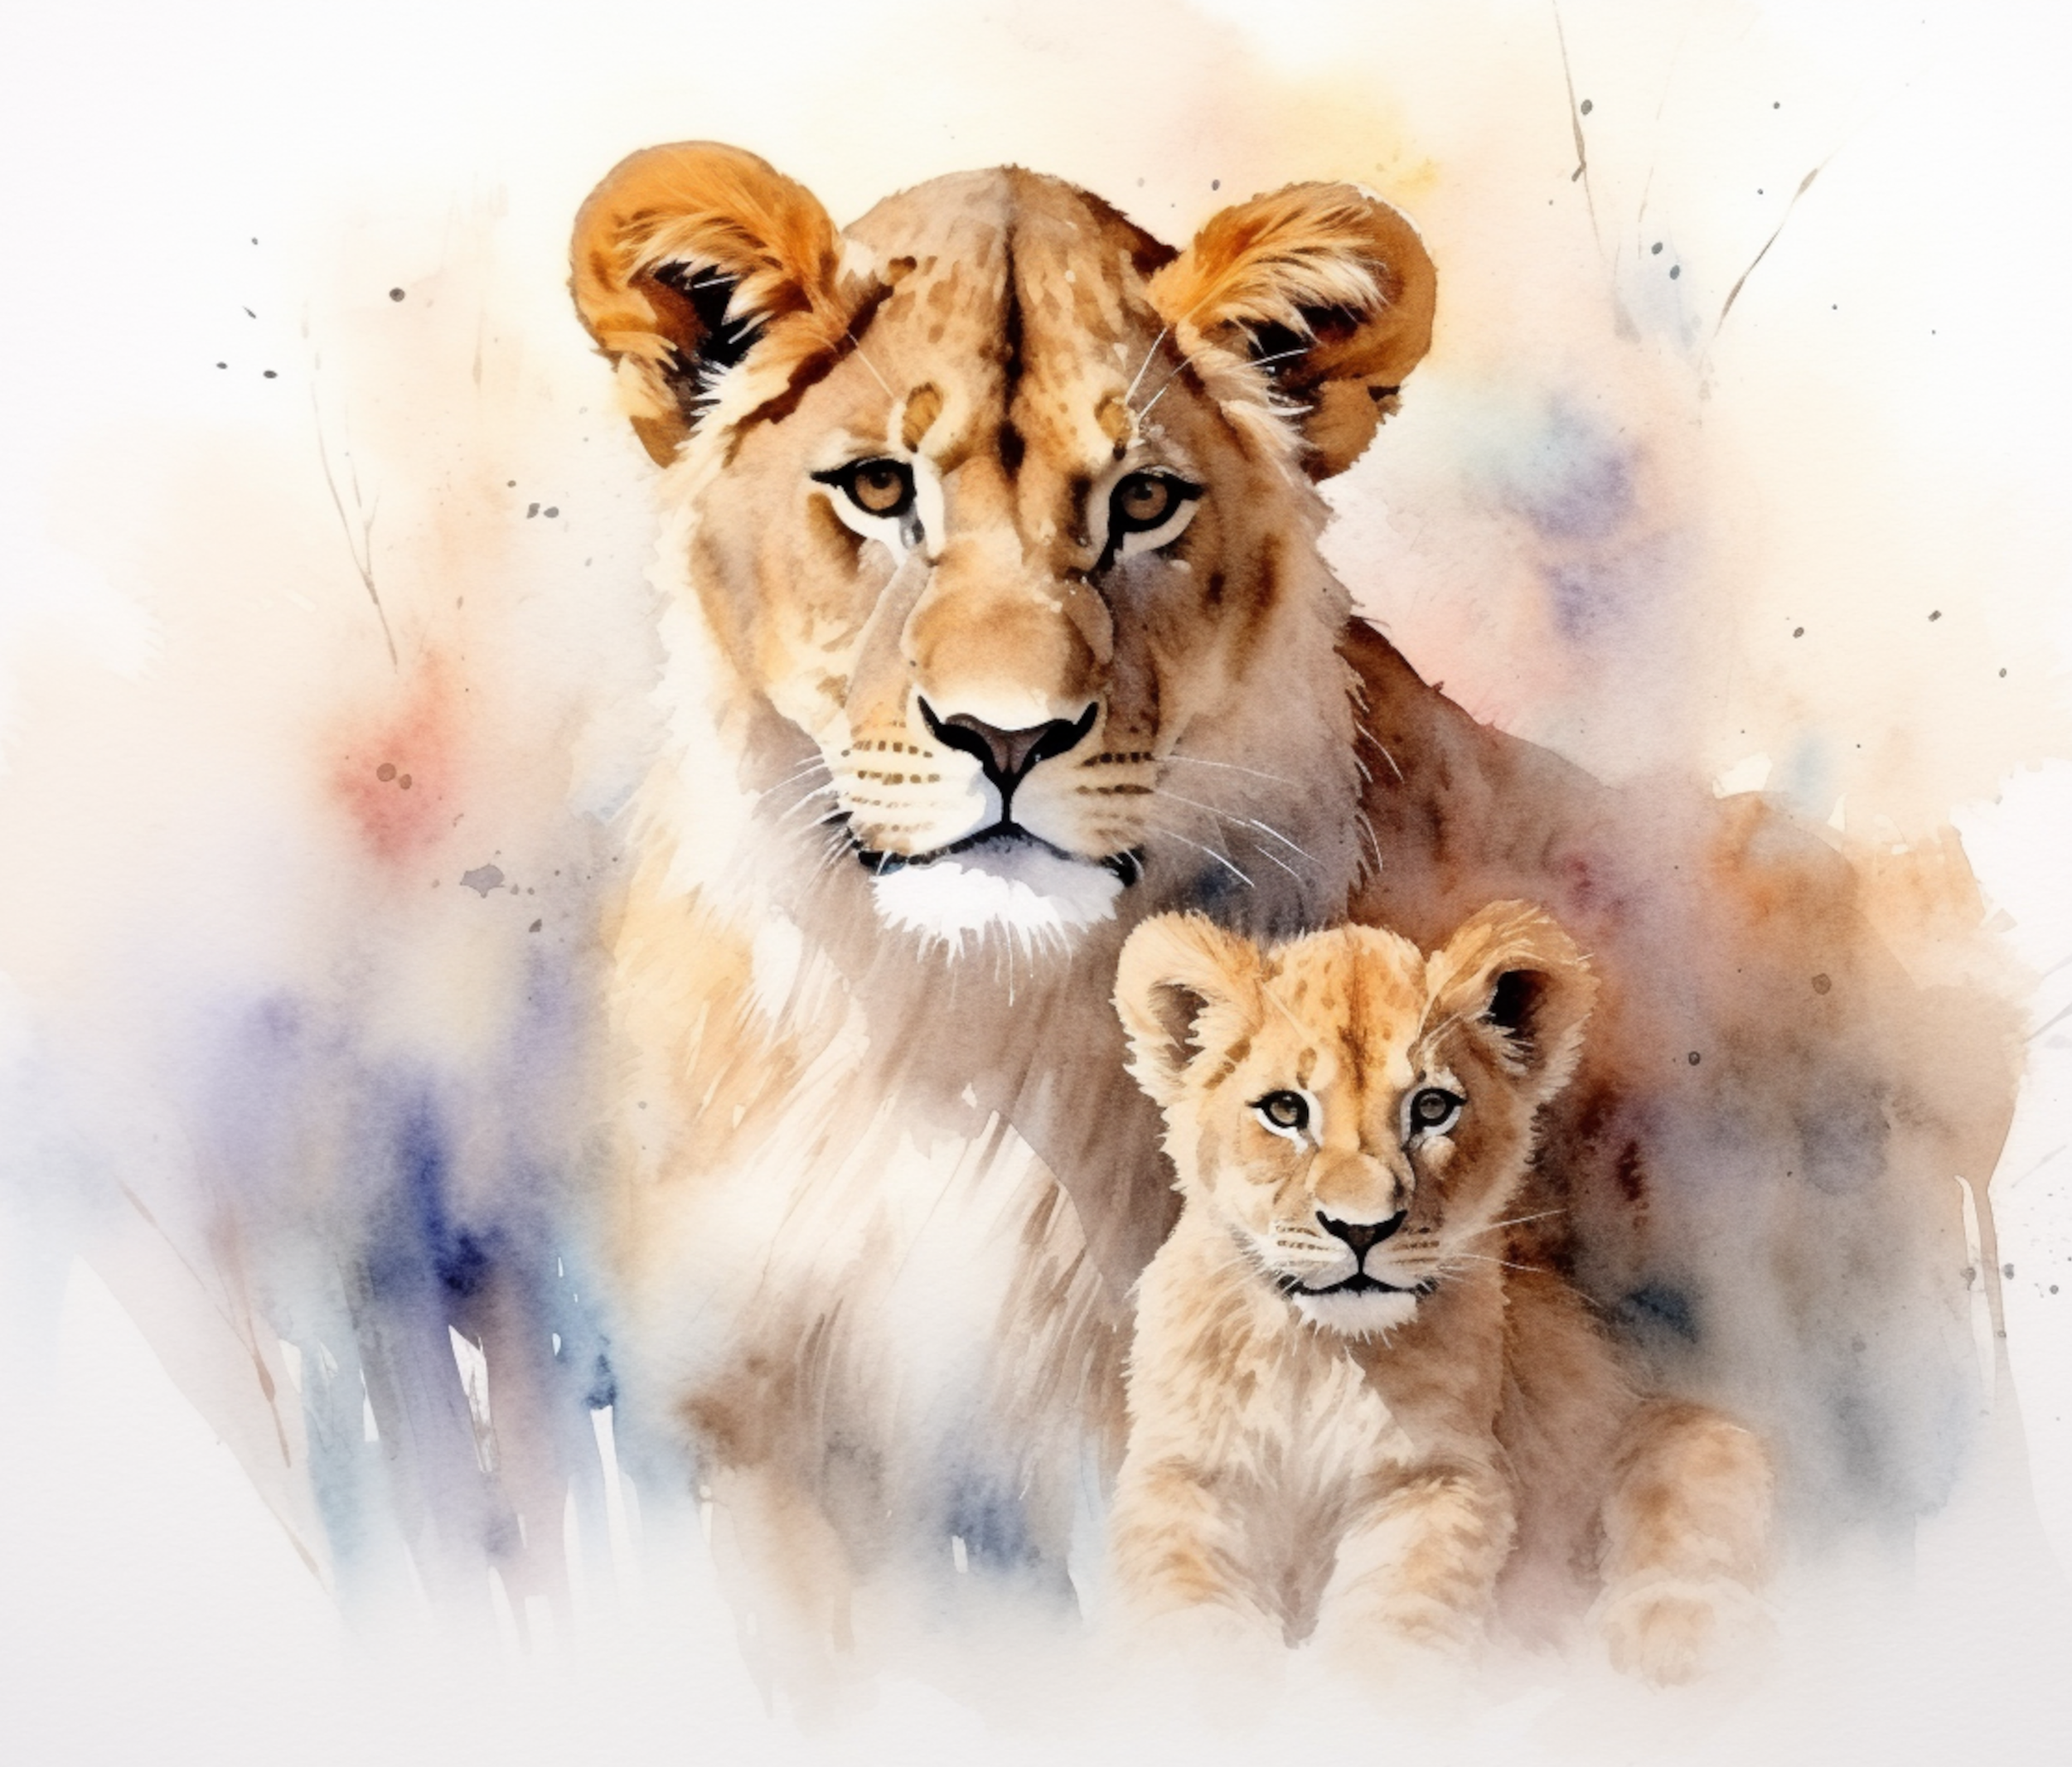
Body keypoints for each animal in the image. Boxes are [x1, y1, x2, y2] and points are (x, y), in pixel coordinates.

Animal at [1110, 906, 1773, 1685]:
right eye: (1284, 1110)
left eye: (1431, 1108)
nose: (1360, 1229)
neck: (1321, 1354)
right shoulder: (1183, 1471)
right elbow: (1190, 1618)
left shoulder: (1440, 1477)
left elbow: (1390, 1628)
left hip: (1687, 1434)